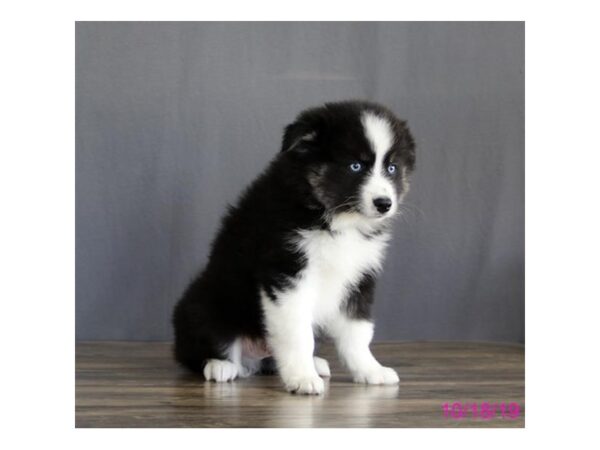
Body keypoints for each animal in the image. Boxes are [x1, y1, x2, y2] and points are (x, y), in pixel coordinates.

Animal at [171, 99, 414, 394]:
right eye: (355, 166)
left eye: (392, 168)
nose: (384, 204)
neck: (332, 217)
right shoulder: (288, 273)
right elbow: (298, 334)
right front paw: (302, 378)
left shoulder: (359, 277)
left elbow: (357, 333)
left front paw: (370, 370)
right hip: (203, 304)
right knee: (202, 348)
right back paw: (221, 365)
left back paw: (314, 363)